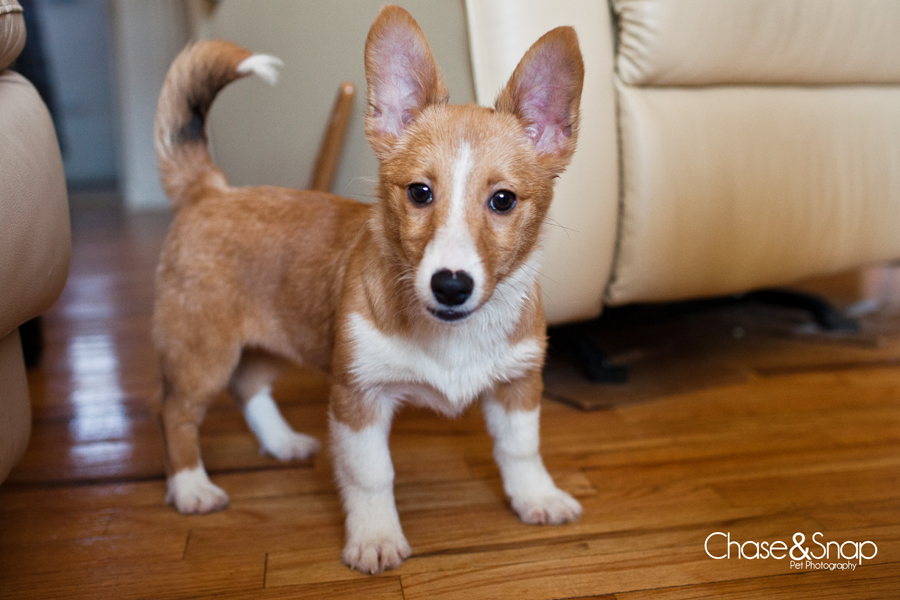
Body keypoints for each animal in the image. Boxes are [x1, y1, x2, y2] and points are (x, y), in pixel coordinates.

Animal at [152, 5, 588, 576]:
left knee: (249, 387)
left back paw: (282, 442)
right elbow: (371, 475)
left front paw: (537, 497)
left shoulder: (517, 387)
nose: (451, 286)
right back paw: (191, 488)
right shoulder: (357, 399)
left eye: (503, 200)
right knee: (176, 414)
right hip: (204, 355)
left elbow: (521, 451)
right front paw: (375, 538)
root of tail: (210, 190)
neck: (450, 336)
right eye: (420, 193)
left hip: (275, 342)